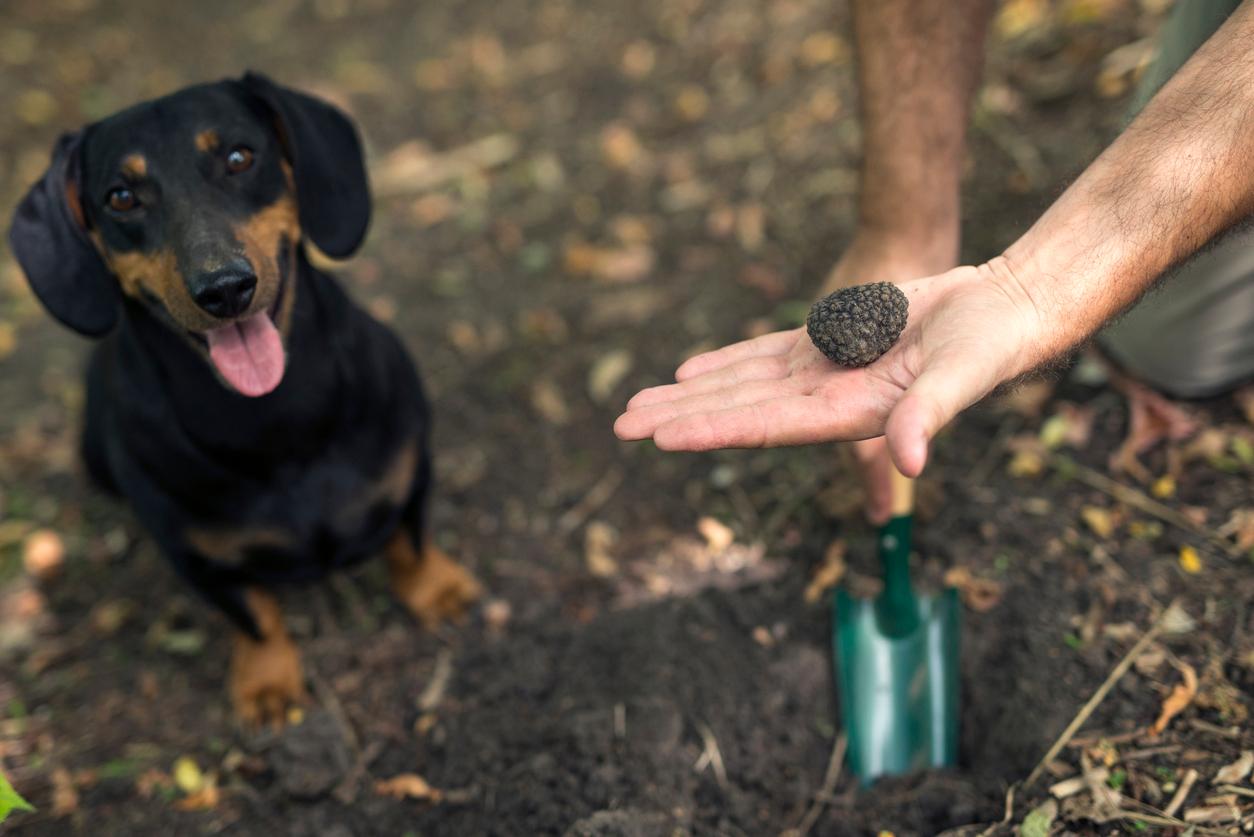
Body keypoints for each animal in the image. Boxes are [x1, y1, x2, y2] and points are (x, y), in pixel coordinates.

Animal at [8, 73, 479, 727]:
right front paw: (267, 682)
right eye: (121, 197)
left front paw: (439, 591)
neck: (275, 421)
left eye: (238, 157)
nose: (225, 289)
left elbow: (411, 542)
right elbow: (253, 616)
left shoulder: (413, 472)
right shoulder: (198, 560)